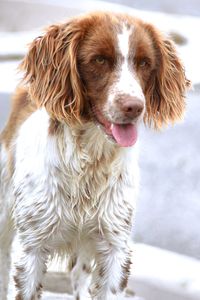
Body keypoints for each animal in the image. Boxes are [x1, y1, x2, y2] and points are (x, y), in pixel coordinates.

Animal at [0, 11, 190, 300]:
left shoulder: (115, 246)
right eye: (99, 59)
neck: (89, 162)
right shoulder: (31, 248)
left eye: (144, 63)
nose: (135, 107)